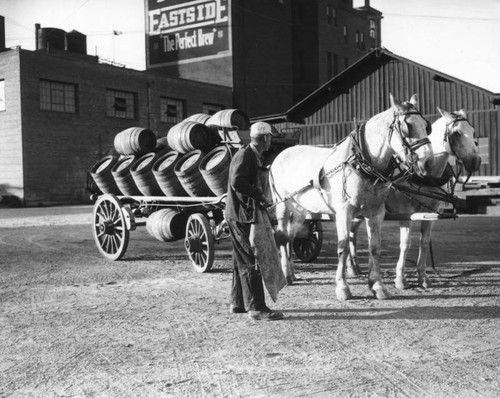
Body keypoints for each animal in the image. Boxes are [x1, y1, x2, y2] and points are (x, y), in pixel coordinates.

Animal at [270, 94, 434, 298]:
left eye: (426, 125)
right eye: (407, 126)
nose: (428, 163)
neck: (362, 163)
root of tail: (281, 154)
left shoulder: (376, 213)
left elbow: (375, 247)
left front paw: (377, 285)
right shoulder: (343, 213)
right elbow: (343, 247)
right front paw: (342, 287)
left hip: (301, 210)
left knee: (292, 236)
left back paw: (292, 273)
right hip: (281, 205)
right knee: (282, 236)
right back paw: (286, 274)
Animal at [348, 109, 480, 290]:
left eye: (473, 131)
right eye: (456, 133)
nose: (476, 161)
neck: (426, 176)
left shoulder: (433, 211)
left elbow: (424, 242)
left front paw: (423, 277)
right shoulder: (405, 212)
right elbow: (405, 243)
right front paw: (400, 279)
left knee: (352, 231)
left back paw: (354, 267)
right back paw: (351, 267)